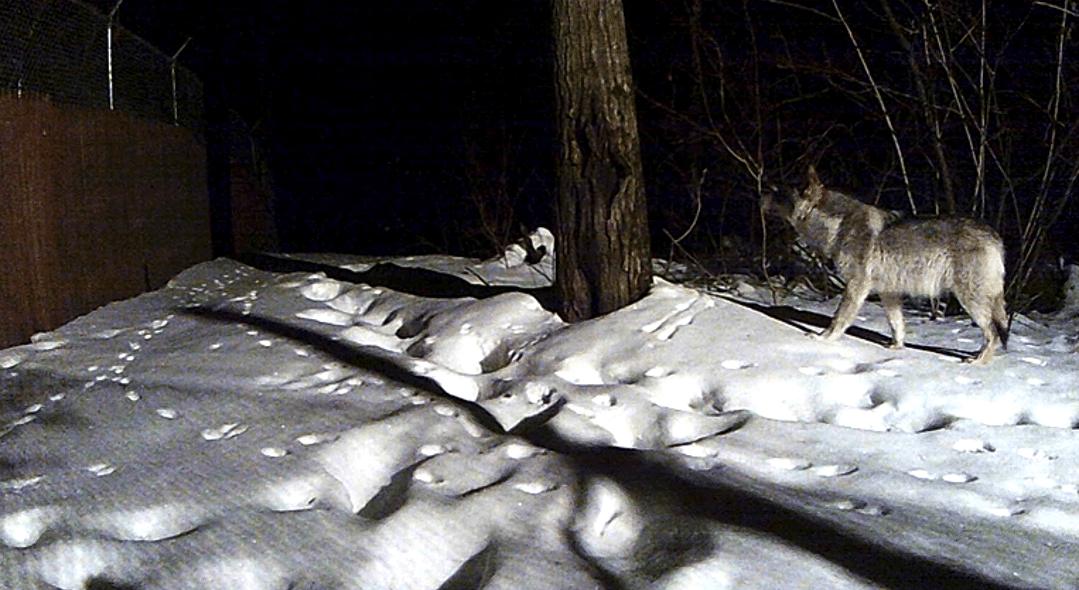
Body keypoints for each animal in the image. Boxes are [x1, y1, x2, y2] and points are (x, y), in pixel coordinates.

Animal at [762, 166, 1009, 364]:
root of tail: (995, 236)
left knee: (994, 333)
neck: (837, 226)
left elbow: (838, 319)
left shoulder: (857, 285)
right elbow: (897, 324)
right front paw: (896, 349)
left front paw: (823, 339)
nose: (760, 194)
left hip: (970, 300)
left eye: (778, 192)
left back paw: (978, 361)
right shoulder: (888, 292)